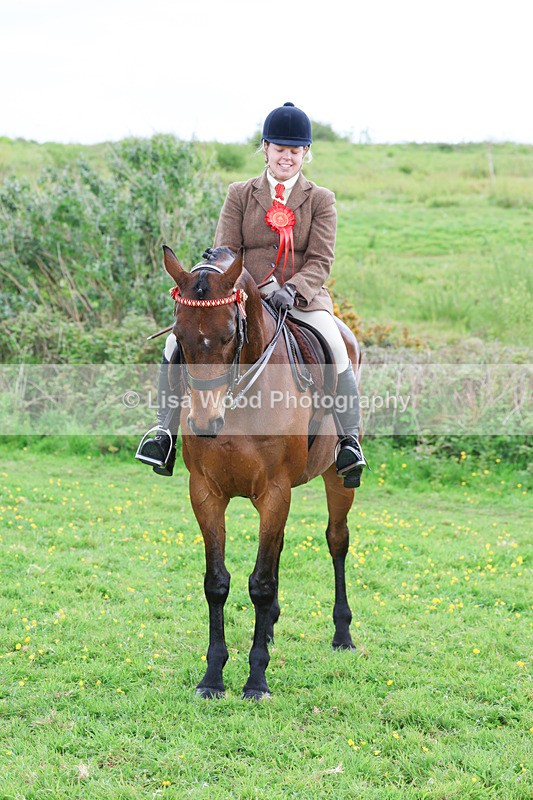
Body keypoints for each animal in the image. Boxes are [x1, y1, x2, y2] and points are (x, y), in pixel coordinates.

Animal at [162, 244, 360, 699]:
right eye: (179, 336)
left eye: (228, 336)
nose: (205, 422)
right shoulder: (205, 493)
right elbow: (217, 582)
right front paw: (212, 677)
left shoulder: (274, 492)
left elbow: (261, 584)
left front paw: (256, 680)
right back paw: (269, 629)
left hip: (337, 477)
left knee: (337, 541)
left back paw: (342, 635)